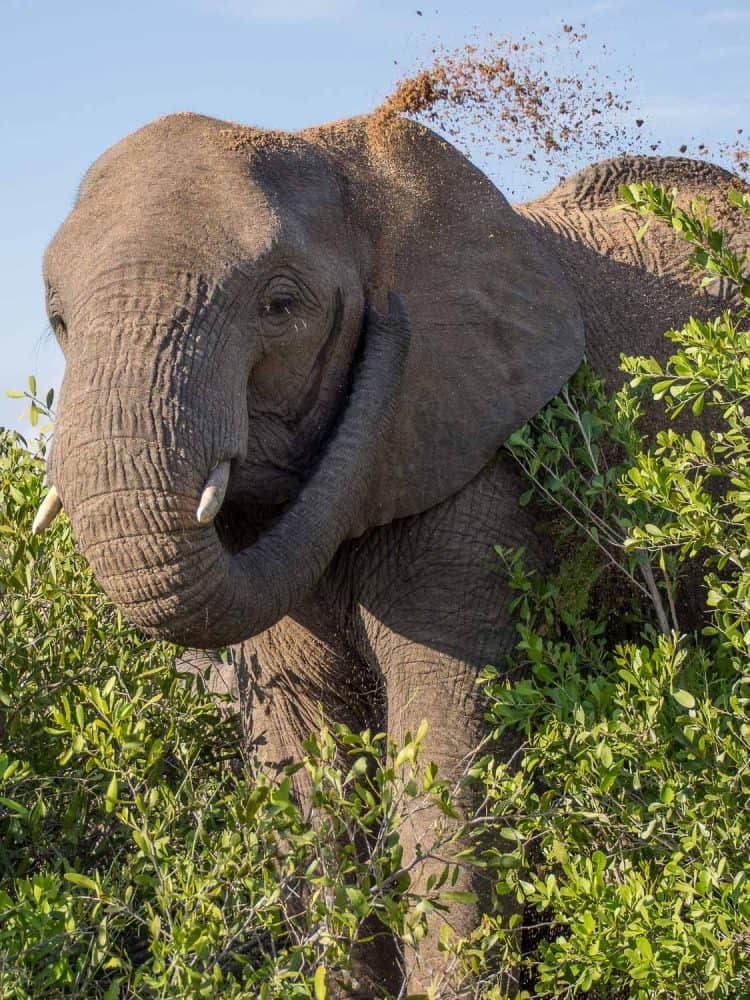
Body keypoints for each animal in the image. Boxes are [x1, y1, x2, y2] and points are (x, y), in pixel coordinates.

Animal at [38, 113, 748, 996]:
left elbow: (444, 760)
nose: (389, 318)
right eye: (59, 323)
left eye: (279, 306)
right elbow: (307, 774)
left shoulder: (472, 464)